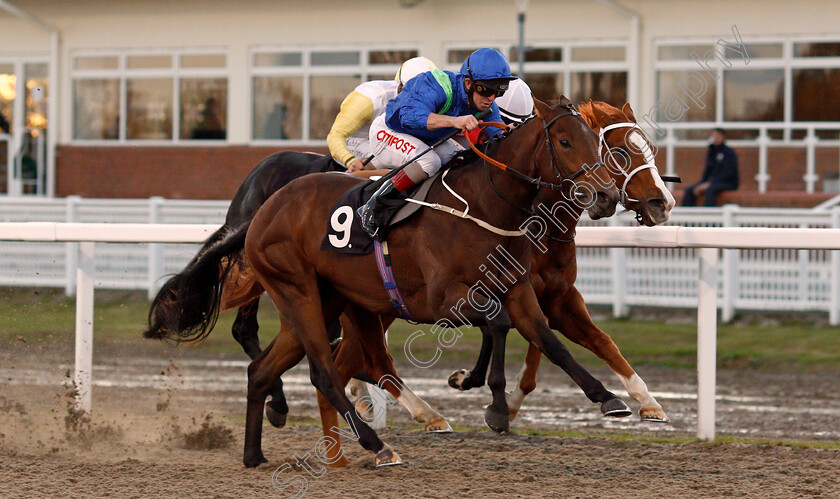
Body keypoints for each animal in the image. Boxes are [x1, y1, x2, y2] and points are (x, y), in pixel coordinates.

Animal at [148, 98, 628, 468]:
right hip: (297, 292)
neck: (485, 203)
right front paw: (493, 405)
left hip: (326, 302)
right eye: (564, 141)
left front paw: (609, 397)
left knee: (263, 371)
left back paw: (255, 454)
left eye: (597, 141)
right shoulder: (443, 301)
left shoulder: (518, 289)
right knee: (323, 370)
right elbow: (497, 323)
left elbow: (548, 338)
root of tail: (262, 212)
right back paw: (378, 446)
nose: (607, 196)